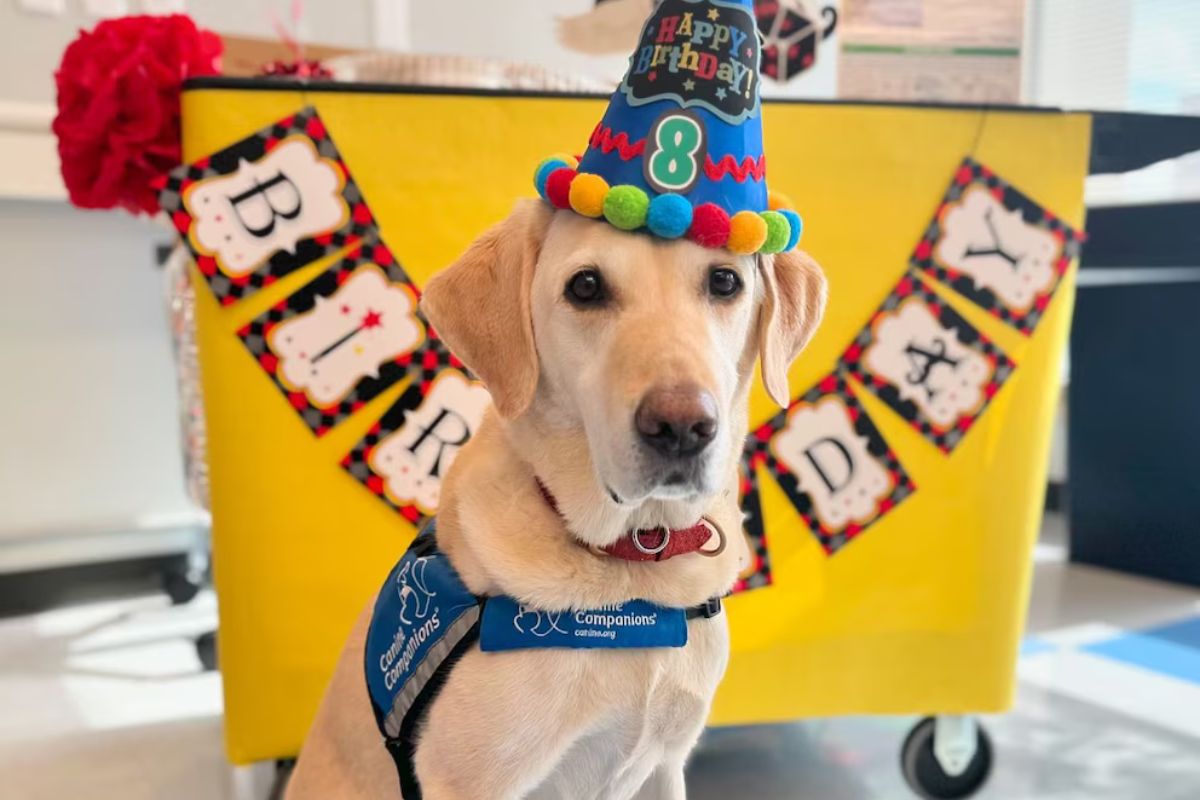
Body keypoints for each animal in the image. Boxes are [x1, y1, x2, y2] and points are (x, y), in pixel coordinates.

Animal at [285, 200, 825, 800]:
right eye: (585, 286)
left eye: (725, 281)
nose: (682, 427)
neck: (631, 574)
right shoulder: (468, 785)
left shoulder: (666, 765)